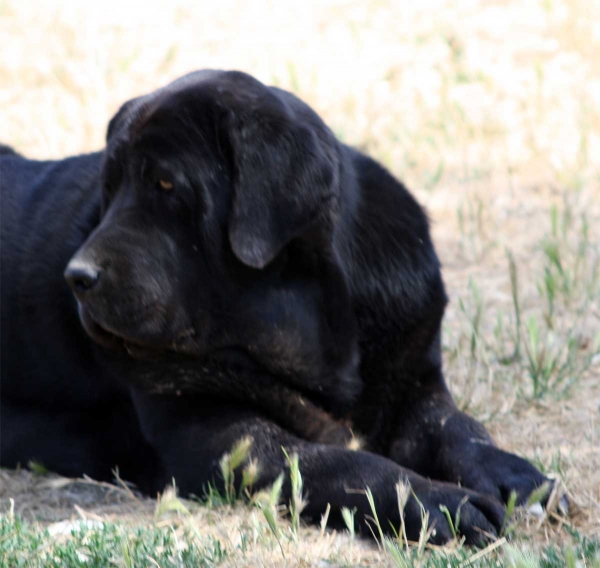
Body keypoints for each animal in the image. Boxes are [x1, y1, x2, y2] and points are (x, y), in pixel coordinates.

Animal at [0, 69, 548, 544]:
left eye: (166, 185)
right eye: (108, 190)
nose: (77, 277)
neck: (304, 326)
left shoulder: (415, 383)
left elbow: (457, 428)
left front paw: (512, 474)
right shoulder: (213, 432)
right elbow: (340, 463)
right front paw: (439, 502)